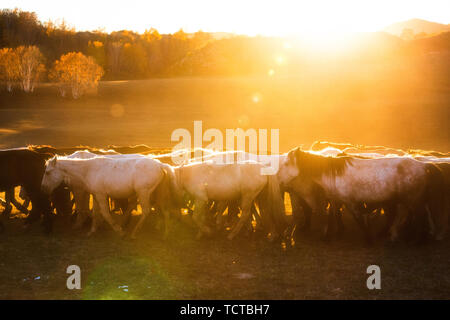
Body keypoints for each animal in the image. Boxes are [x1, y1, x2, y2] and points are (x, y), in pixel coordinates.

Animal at [41, 156, 172, 239]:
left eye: (47, 172)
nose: (43, 188)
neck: (88, 170)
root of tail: (160, 165)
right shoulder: (96, 195)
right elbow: (95, 213)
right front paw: (91, 231)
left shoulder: (101, 195)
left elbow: (105, 213)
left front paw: (120, 231)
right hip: (156, 194)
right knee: (164, 211)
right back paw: (165, 234)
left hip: (143, 192)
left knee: (146, 211)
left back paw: (134, 233)